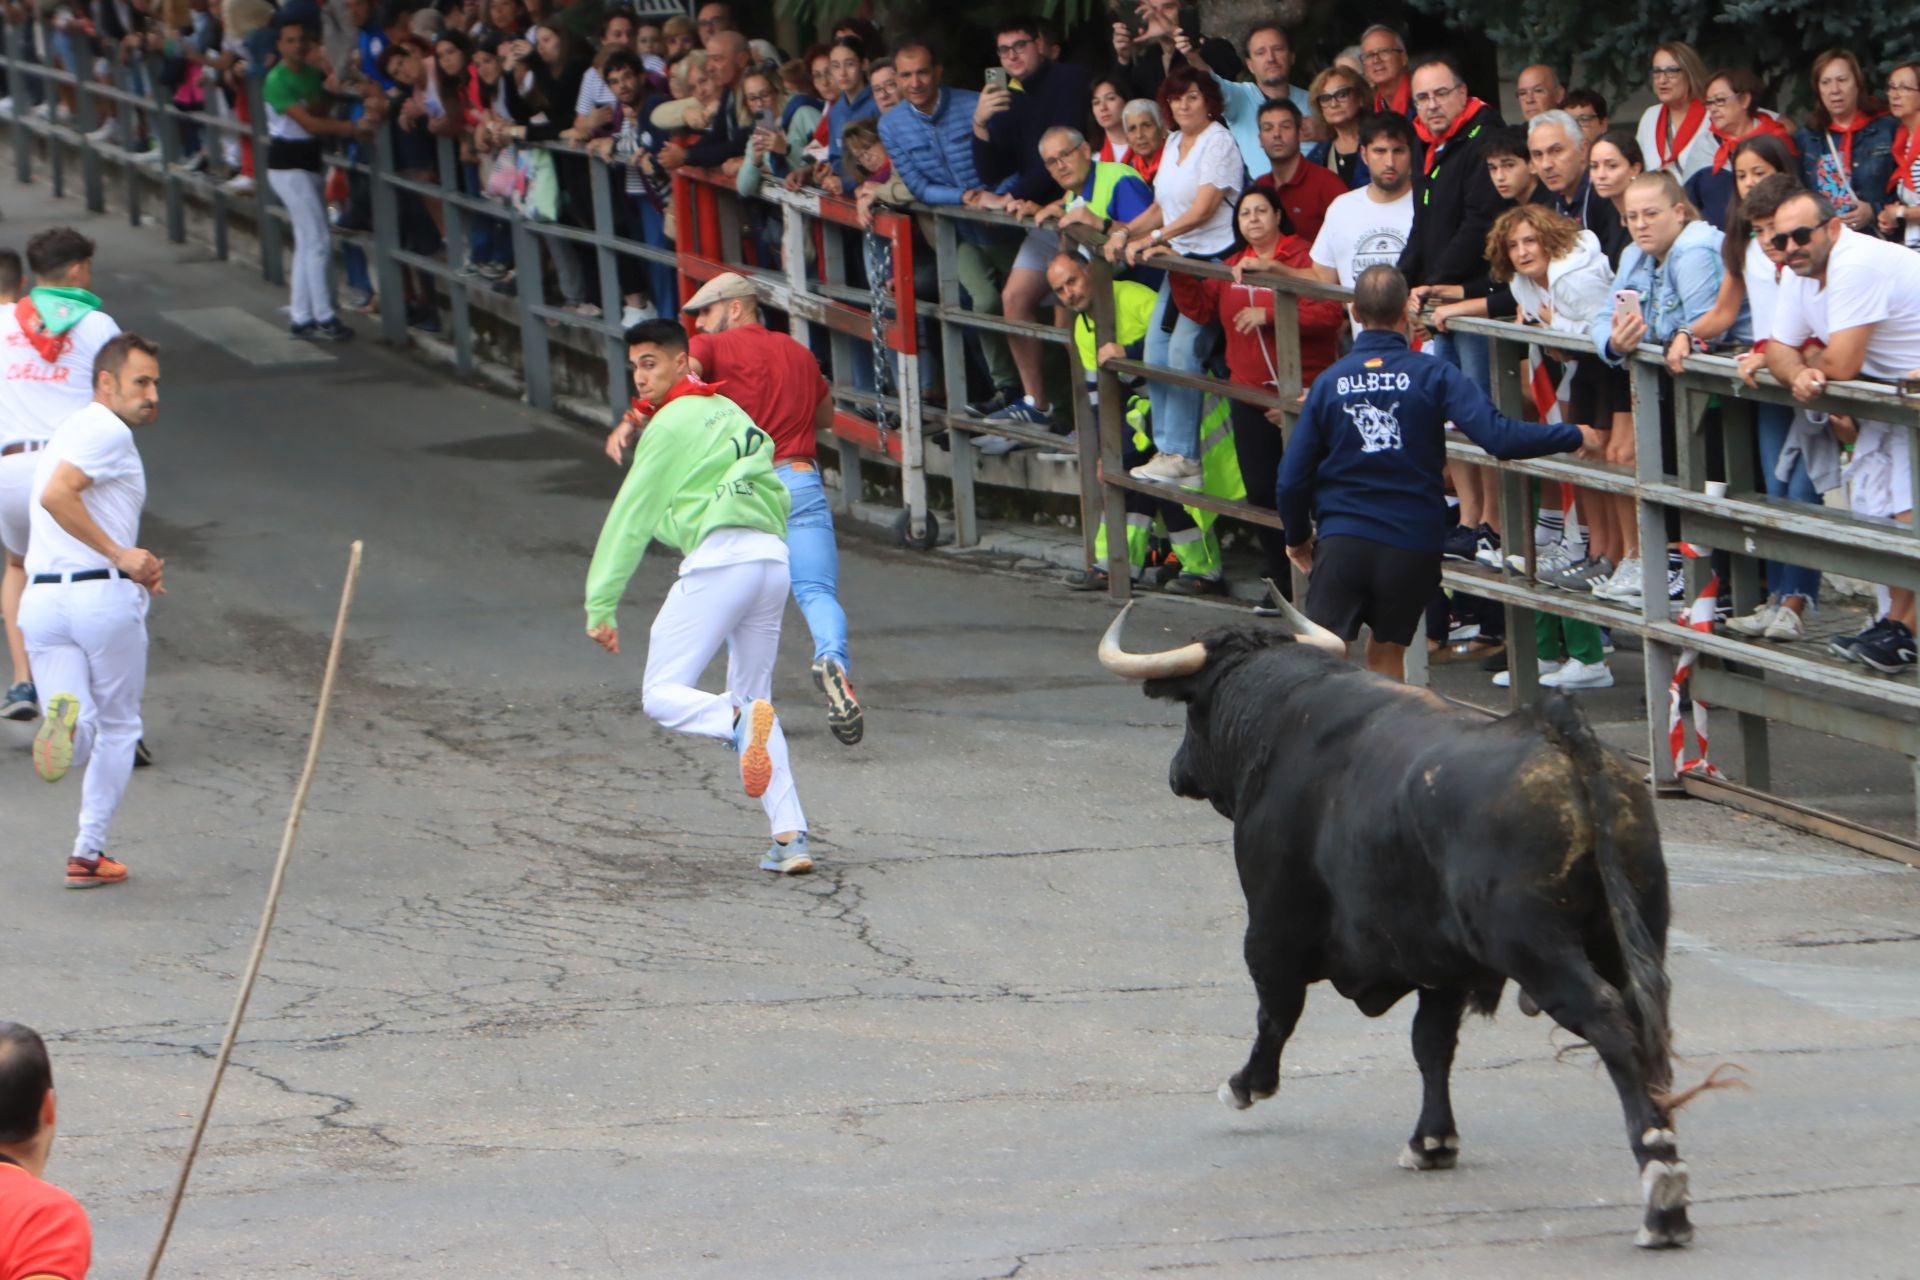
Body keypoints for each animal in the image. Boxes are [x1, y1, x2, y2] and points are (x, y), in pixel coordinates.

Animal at [1105, 606, 1704, 1243]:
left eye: (1194, 709)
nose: (1177, 772)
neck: (1285, 715)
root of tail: (1563, 738)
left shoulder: (1271, 925)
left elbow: (1277, 1012)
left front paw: (1246, 1084)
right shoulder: (1442, 962)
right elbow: (1431, 1044)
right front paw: (1432, 1141)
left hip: (1540, 951)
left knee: (1611, 1021)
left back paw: (1661, 1187)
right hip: (1631, 934)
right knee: (1647, 1023)